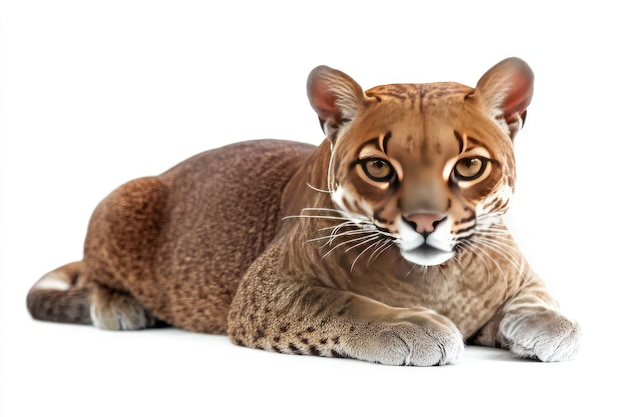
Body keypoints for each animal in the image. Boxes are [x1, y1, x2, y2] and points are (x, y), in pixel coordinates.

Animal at [26, 57, 576, 364]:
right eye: (378, 166)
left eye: (469, 165)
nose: (425, 222)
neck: (441, 277)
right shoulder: (263, 290)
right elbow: (338, 303)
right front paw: (413, 325)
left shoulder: (517, 278)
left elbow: (538, 302)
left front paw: (549, 327)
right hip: (122, 198)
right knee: (96, 273)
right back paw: (120, 308)